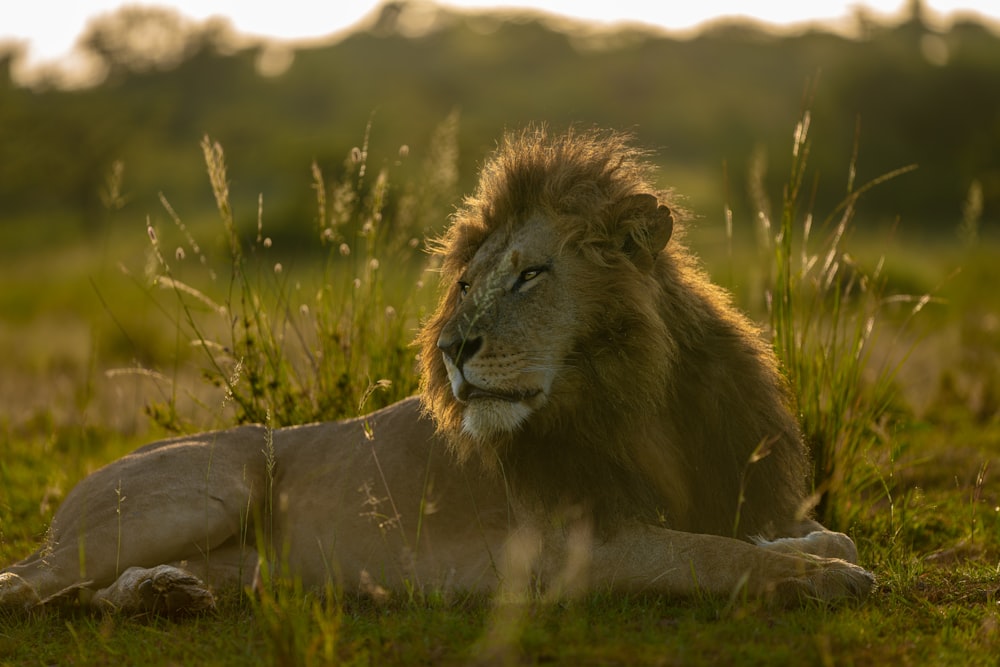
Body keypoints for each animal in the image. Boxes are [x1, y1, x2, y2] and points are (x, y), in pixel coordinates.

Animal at [0, 128, 872, 612]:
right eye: (463, 283)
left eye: (530, 275)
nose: (452, 349)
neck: (642, 401)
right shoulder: (576, 549)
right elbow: (719, 555)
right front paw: (829, 575)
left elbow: (788, 533)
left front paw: (822, 546)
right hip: (211, 483)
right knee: (27, 583)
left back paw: (166, 594)